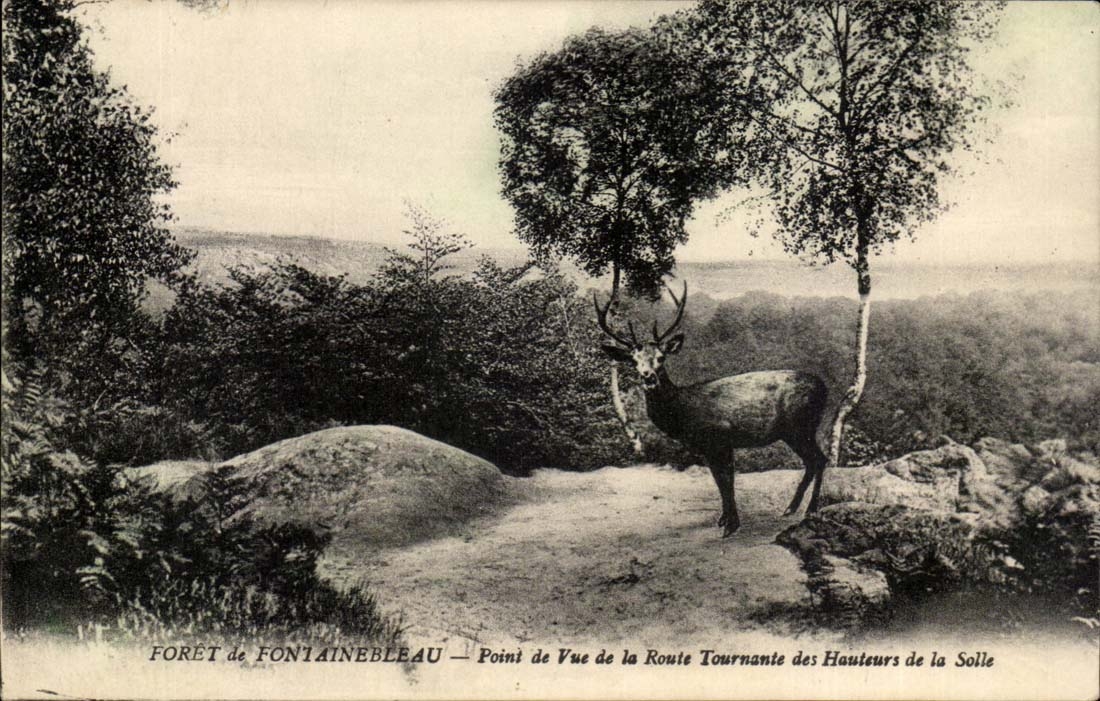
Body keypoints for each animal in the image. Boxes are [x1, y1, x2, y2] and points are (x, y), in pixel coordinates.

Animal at [595, 282, 829, 537]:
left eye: (661, 357)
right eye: (633, 360)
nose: (648, 377)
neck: (683, 412)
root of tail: (824, 388)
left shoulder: (720, 438)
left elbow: (727, 480)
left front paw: (731, 525)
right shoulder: (708, 447)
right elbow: (718, 480)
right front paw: (724, 519)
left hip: (800, 426)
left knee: (820, 459)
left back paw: (810, 509)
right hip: (796, 431)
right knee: (813, 461)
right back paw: (791, 508)